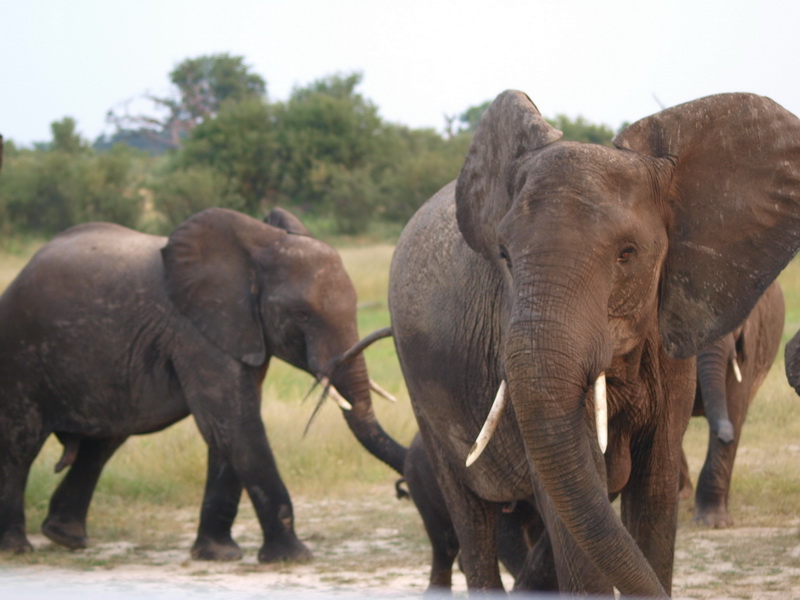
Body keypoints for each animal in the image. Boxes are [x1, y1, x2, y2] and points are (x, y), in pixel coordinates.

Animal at [1, 207, 406, 564]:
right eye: (302, 314)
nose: (403, 490)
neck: (260, 246)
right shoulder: (197, 333)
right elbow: (235, 423)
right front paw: (293, 558)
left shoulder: (240, 333)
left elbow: (226, 431)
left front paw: (217, 555)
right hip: (21, 353)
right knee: (20, 447)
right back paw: (18, 548)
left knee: (102, 443)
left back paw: (65, 538)